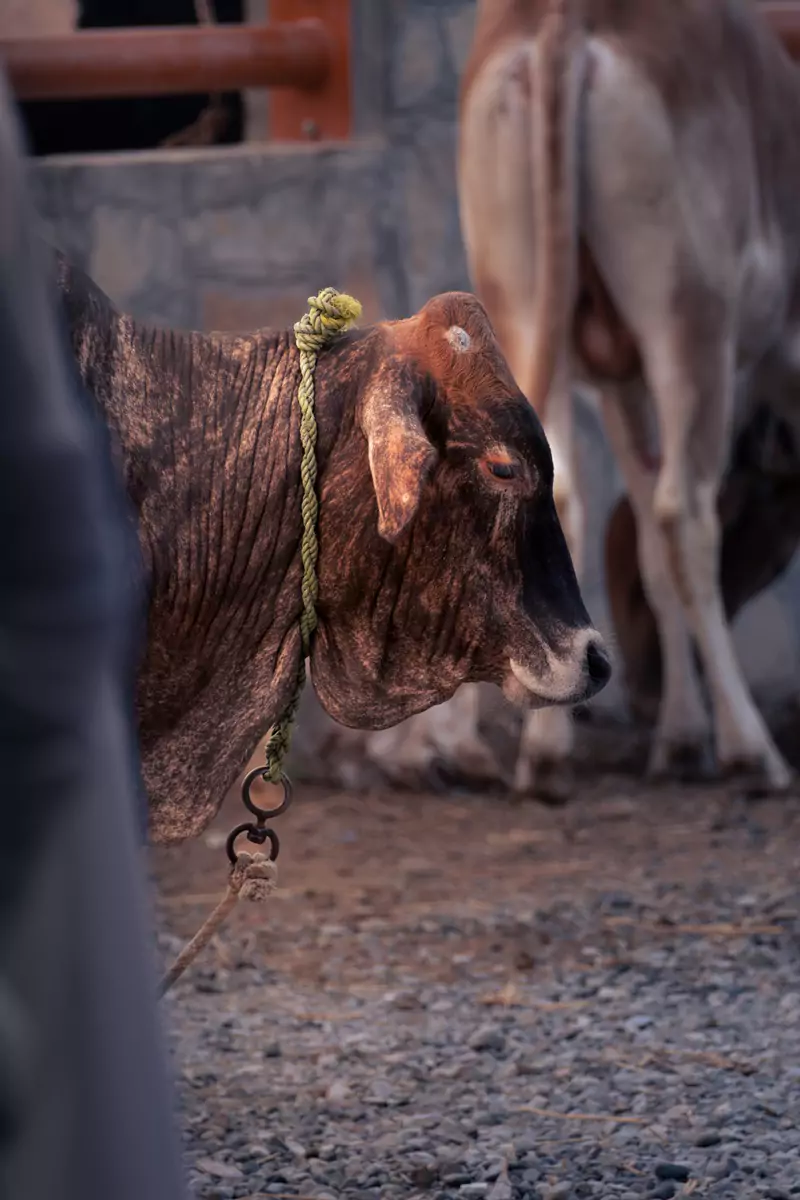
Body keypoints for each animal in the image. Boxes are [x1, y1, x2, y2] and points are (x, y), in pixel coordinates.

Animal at [455, 0, 800, 799]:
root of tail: (565, 16)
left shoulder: (620, 381)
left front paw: (678, 734)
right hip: (688, 320)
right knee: (684, 514)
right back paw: (752, 748)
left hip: (518, 303)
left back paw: (550, 753)